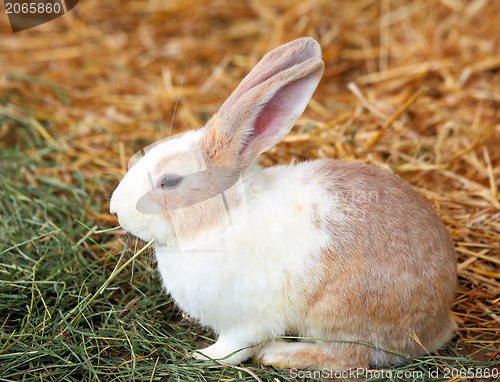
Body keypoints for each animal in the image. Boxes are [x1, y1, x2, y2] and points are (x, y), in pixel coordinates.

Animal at [109, 38, 458, 370]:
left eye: (170, 181)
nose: (116, 210)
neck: (223, 218)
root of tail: (438, 325)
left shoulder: (247, 322)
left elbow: (235, 348)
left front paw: (203, 356)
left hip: (338, 314)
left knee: (346, 359)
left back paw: (280, 354)